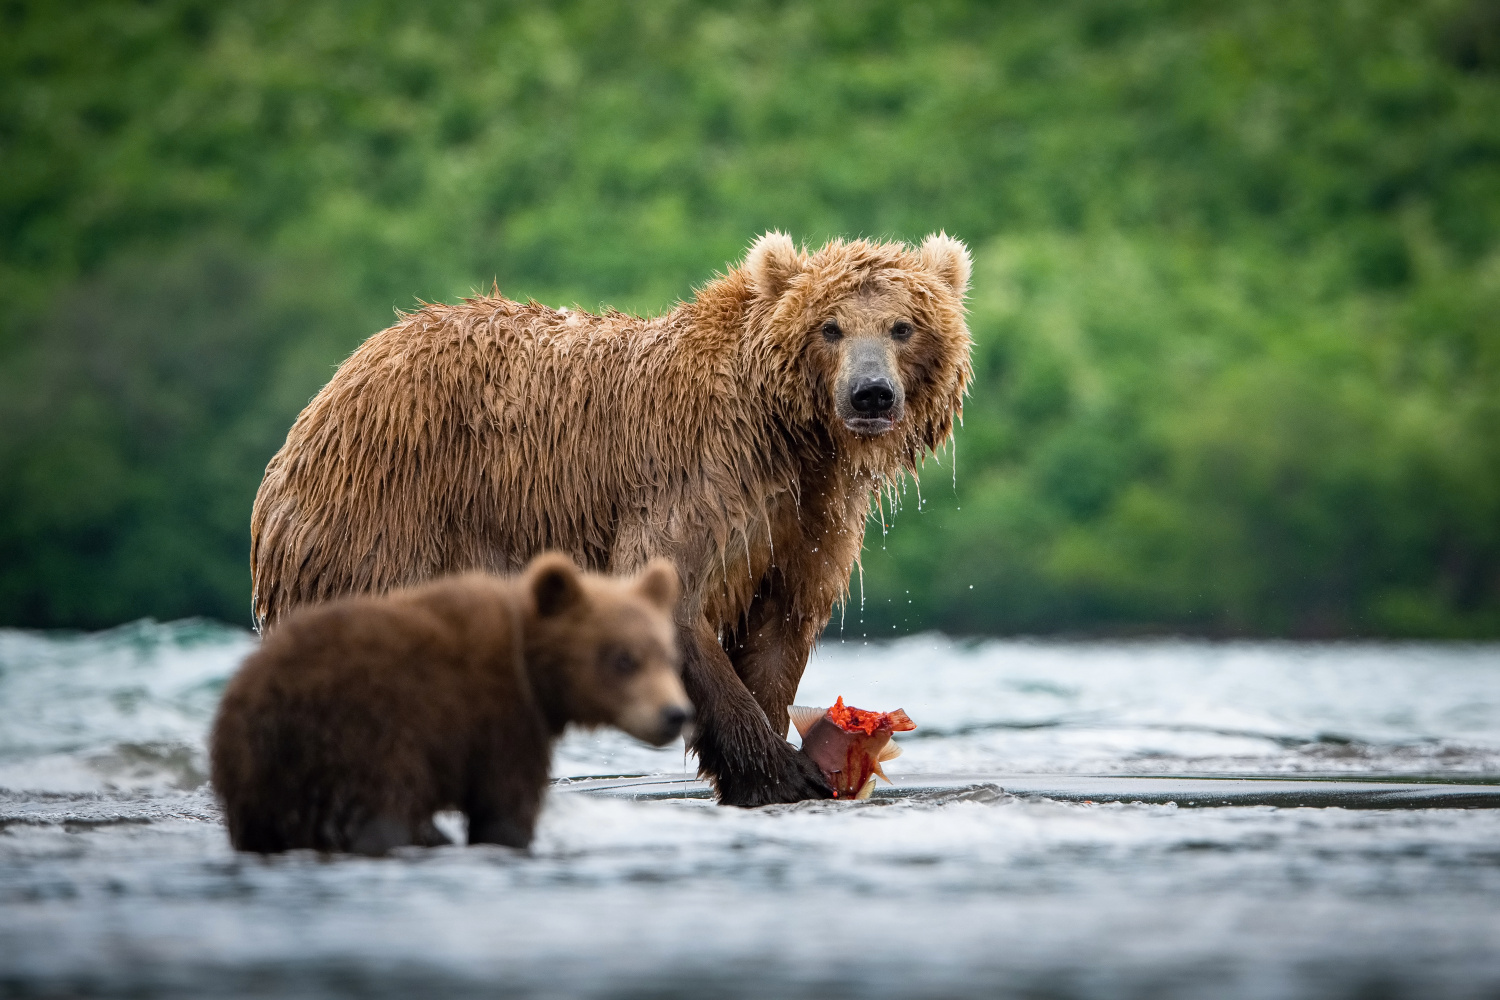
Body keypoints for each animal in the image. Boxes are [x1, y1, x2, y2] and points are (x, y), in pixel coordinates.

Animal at [249, 232, 972, 803]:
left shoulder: (806, 517)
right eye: (831, 327)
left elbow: (780, 625)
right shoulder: (698, 475)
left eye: (903, 326)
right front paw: (787, 773)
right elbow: (671, 595)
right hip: (389, 519)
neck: (790, 434)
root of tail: (326, 394)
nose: (871, 393)